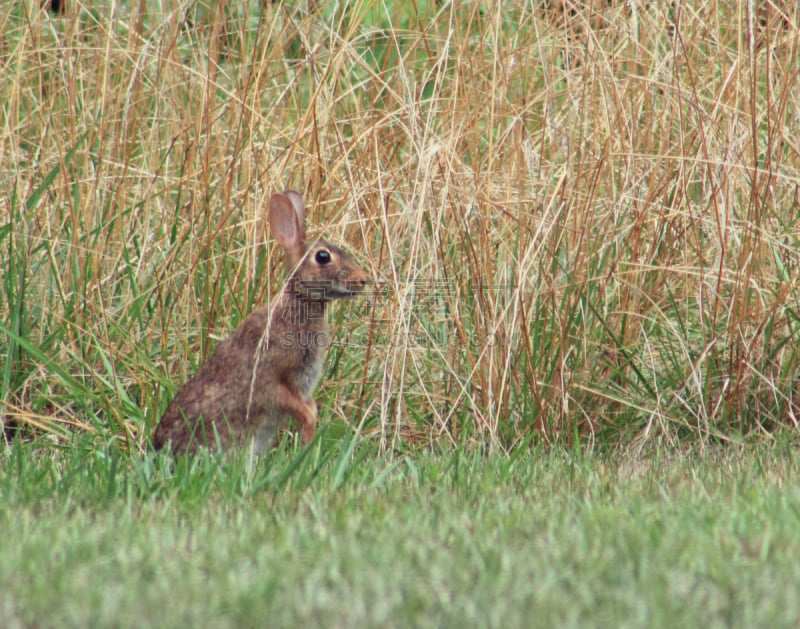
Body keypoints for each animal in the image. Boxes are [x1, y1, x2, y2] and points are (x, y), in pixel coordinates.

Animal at [152, 189, 368, 454]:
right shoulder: (270, 378)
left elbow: (310, 407)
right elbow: (300, 410)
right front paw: (307, 445)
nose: (363, 279)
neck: (299, 303)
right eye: (323, 257)